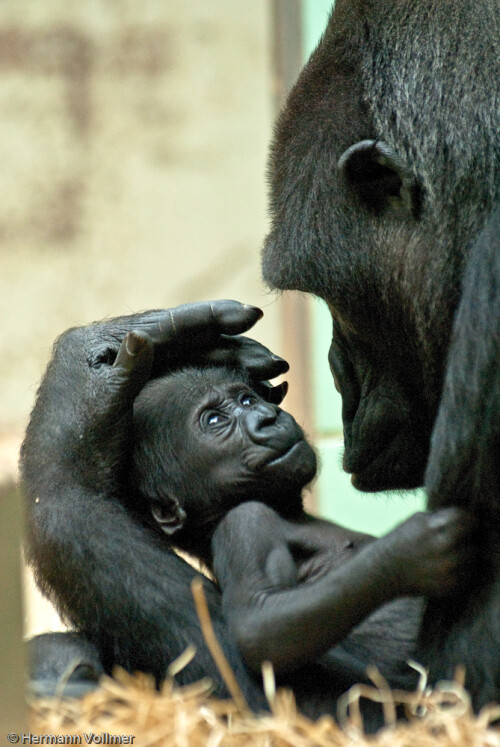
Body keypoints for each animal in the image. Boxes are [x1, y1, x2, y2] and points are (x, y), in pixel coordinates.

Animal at [130, 368, 472, 684]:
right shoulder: (245, 523)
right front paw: (409, 552)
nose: (268, 417)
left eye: (247, 400)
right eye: (214, 420)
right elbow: (259, 625)